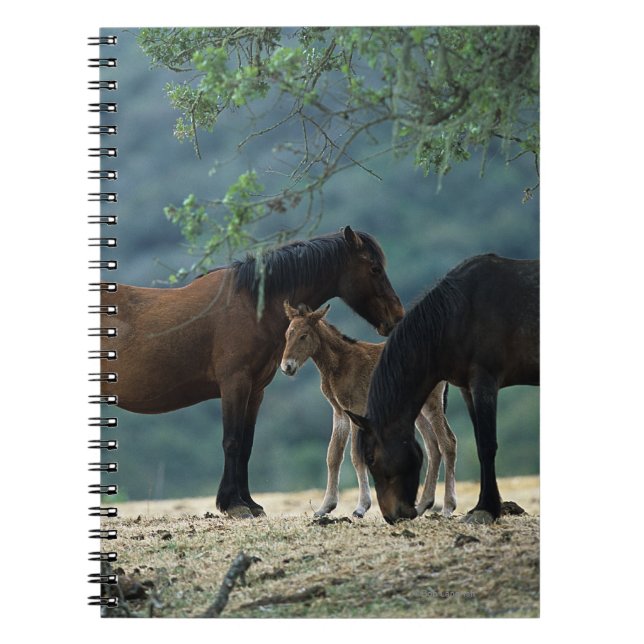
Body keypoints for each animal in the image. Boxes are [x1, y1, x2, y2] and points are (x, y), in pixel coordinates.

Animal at [100, 227, 404, 518]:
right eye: (374, 268)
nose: (398, 317)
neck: (251, 305)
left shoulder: (255, 390)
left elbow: (246, 445)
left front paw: (249, 502)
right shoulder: (235, 385)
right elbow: (232, 441)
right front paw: (233, 505)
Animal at [280, 302, 457, 519]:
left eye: (304, 335)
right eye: (287, 334)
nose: (287, 367)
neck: (339, 364)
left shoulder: (357, 409)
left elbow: (356, 456)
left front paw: (361, 507)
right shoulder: (339, 413)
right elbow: (333, 456)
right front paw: (325, 507)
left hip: (431, 404)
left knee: (447, 442)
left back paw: (448, 507)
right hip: (418, 410)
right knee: (433, 446)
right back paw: (423, 505)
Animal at [346, 254, 539, 525]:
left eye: (371, 457)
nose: (392, 516)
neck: (459, 314)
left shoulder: (484, 382)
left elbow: (486, 446)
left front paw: (486, 508)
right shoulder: (468, 389)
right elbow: (479, 442)